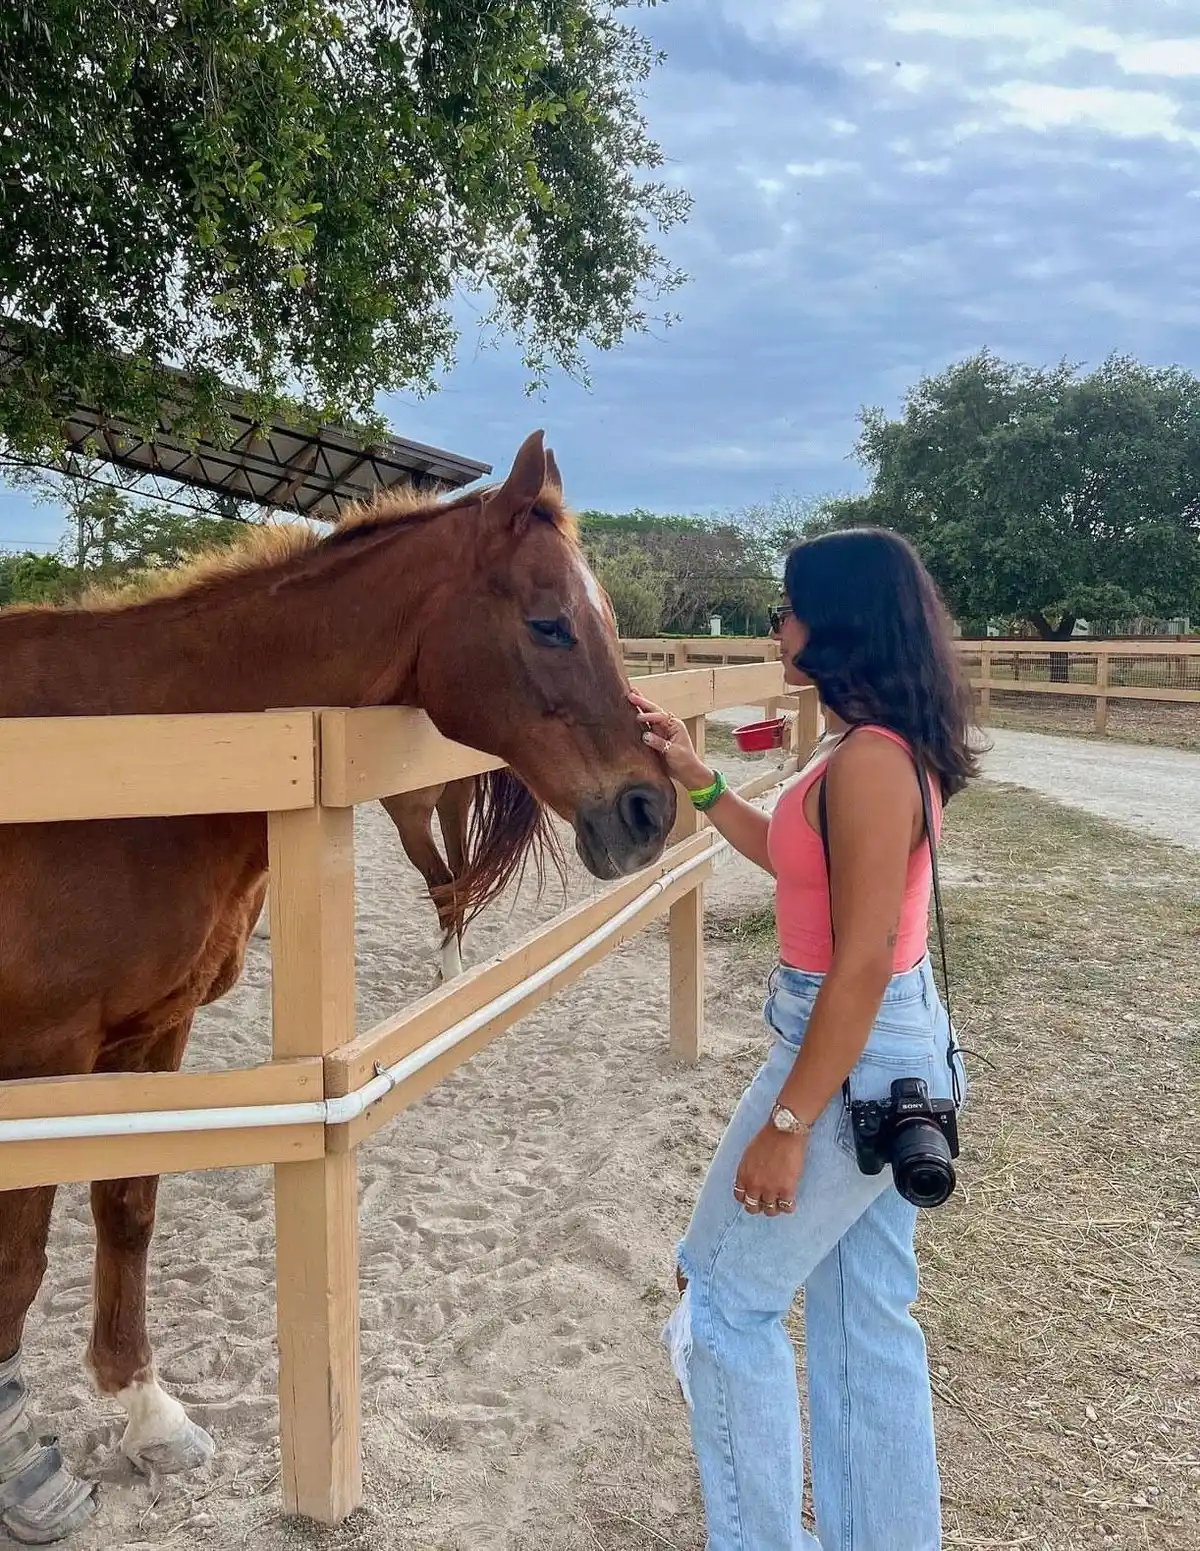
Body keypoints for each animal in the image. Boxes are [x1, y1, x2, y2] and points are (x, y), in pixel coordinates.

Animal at [0, 431, 675, 1544]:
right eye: (549, 621)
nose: (648, 810)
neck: (127, 762)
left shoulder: (152, 1036)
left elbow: (126, 1212)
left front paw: (149, 1412)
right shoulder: (42, 1056)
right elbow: (19, 1253)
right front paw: (26, 1468)